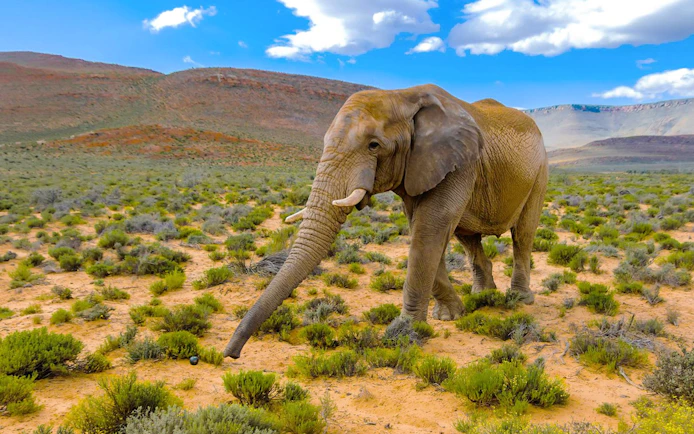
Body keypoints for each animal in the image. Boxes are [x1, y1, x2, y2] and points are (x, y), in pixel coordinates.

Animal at [224, 84, 548, 359]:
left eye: (374, 146)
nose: (231, 354)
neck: (401, 96)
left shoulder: (459, 163)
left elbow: (431, 227)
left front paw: (406, 332)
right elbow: (423, 228)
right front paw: (450, 315)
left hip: (539, 172)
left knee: (523, 234)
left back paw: (520, 299)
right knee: (468, 238)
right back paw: (483, 294)